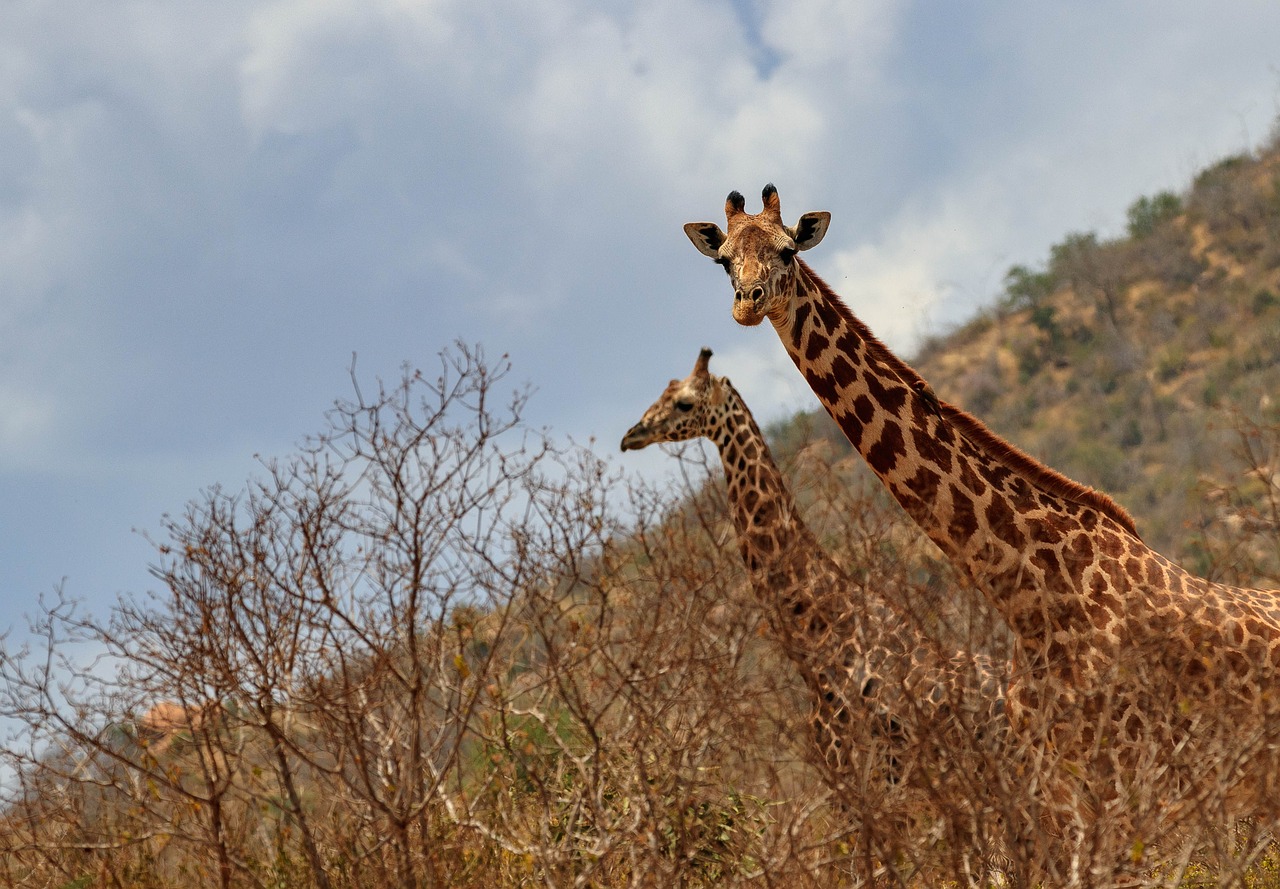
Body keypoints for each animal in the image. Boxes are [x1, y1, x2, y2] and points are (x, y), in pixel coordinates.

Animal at [686, 184, 1280, 880]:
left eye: (786, 250)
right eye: (724, 260)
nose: (747, 304)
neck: (1035, 596)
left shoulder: (1129, 784)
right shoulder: (1071, 793)